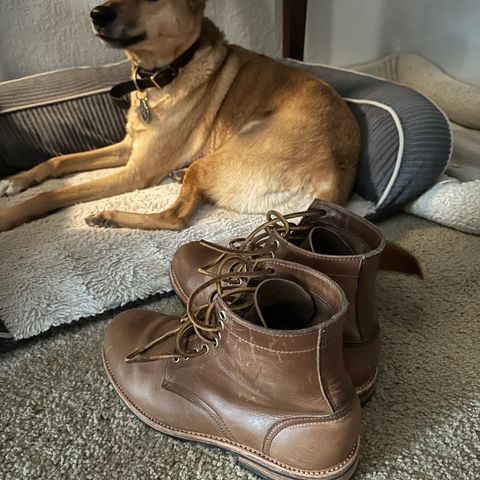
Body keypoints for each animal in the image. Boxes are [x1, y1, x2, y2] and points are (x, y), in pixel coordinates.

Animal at [0, 0, 360, 232]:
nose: (97, 14)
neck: (164, 74)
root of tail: (333, 178)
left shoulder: (135, 173)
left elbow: (52, 193)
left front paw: (9, 216)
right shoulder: (127, 147)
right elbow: (59, 160)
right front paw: (17, 180)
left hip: (217, 158)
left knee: (175, 219)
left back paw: (110, 217)